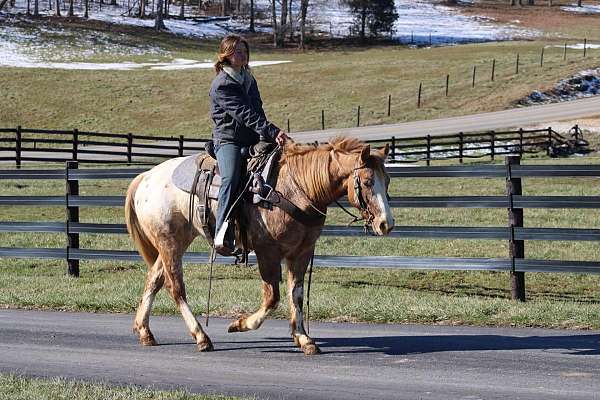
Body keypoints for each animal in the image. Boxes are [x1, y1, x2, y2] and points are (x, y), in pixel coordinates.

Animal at [125, 136, 396, 354]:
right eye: (368, 182)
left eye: (388, 181)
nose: (386, 224)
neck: (295, 188)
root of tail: (146, 177)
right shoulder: (268, 252)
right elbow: (272, 298)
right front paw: (240, 323)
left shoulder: (301, 252)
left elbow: (296, 295)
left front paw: (303, 338)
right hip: (169, 242)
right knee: (176, 288)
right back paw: (201, 337)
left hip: (175, 242)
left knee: (154, 280)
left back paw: (144, 331)